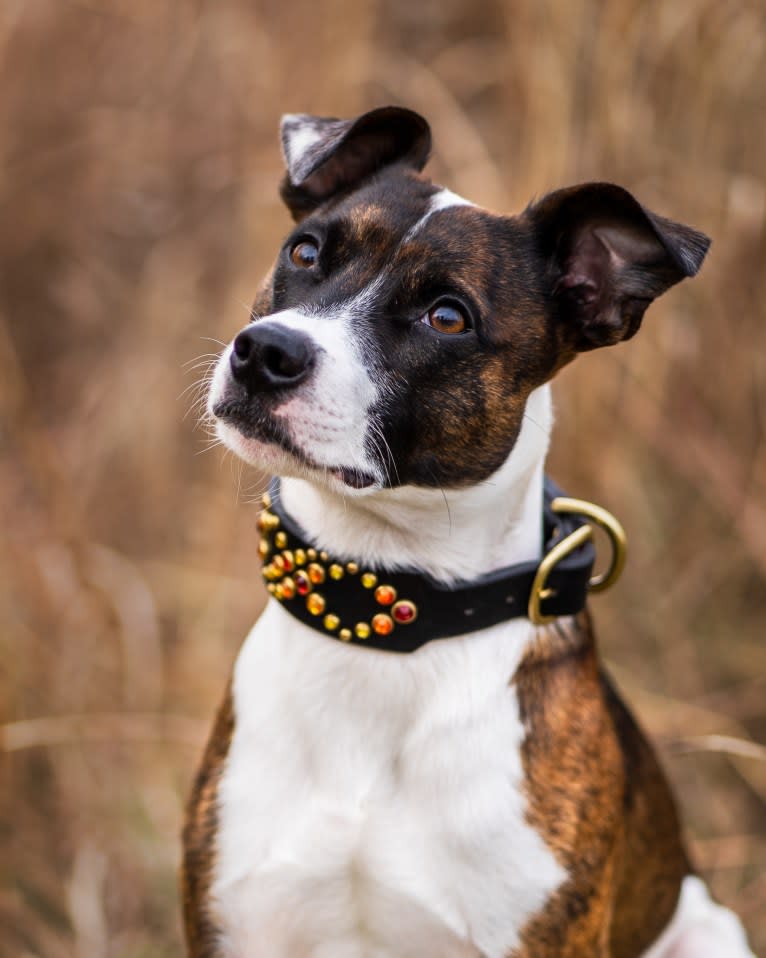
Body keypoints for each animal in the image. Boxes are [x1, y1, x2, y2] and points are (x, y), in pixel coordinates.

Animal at [183, 107, 760, 958]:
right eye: (306, 252)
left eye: (447, 318)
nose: (266, 352)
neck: (384, 615)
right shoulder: (238, 921)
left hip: (708, 931)